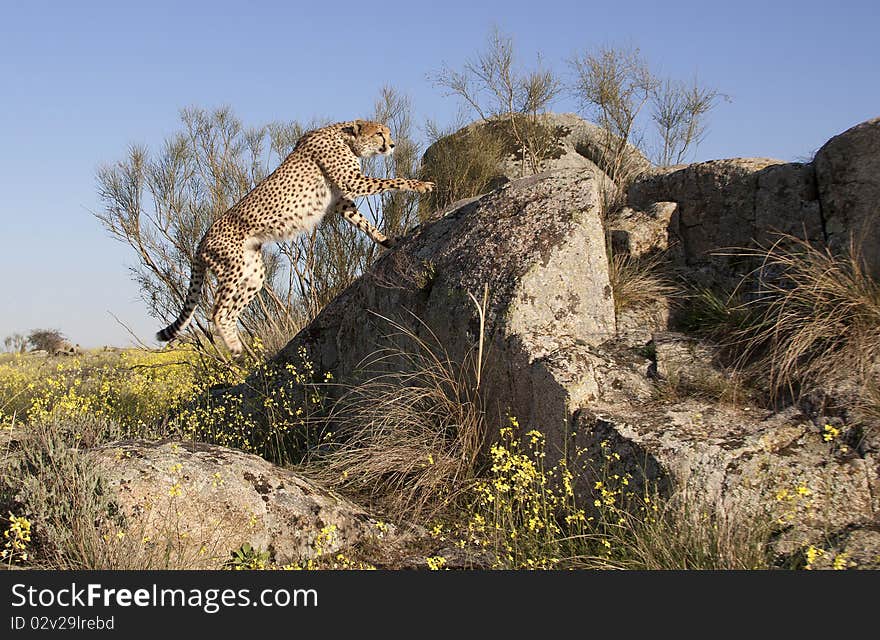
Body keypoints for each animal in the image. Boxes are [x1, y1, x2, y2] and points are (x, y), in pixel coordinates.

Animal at [158, 119, 436, 356]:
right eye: (380, 133)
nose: (392, 145)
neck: (345, 137)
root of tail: (201, 241)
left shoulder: (341, 201)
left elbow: (364, 223)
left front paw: (388, 241)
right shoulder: (353, 181)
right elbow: (393, 180)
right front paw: (421, 185)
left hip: (253, 273)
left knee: (230, 310)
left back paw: (237, 346)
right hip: (233, 268)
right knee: (217, 310)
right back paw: (234, 347)